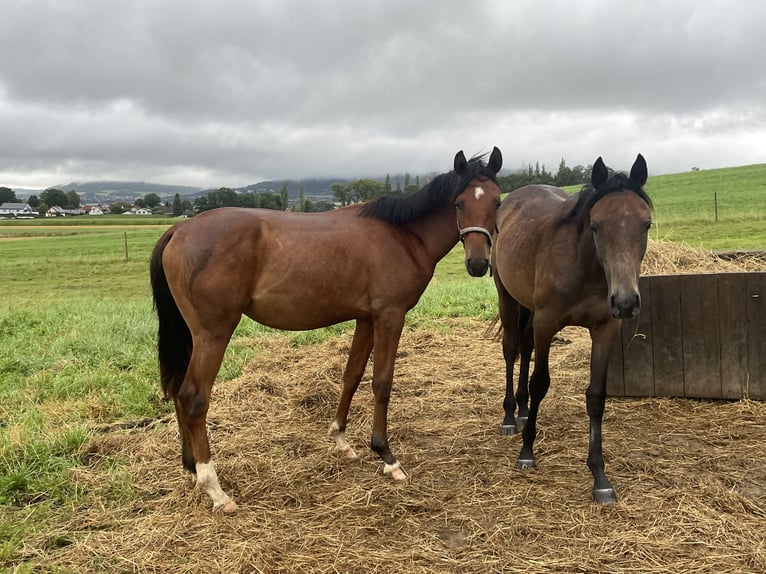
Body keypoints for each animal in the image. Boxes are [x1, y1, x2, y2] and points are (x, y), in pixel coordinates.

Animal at [153, 147, 508, 512]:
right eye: (459, 203)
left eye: (496, 201)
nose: (478, 264)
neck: (403, 236)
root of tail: (178, 231)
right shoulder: (389, 317)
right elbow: (382, 383)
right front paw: (386, 455)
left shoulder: (366, 319)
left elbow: (352, 375)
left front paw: (341, 438)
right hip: (213, 334)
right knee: (193, 397)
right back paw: (214, 488)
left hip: (193, 336)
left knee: (178, 393)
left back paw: (191, 468)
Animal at [496, 154, 652, 504]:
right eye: (596, 225)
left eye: (646, 224)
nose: (625, 301)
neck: (584, 267)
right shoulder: (546, 324)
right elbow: (540, 382)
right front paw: (527, 452)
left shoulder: (606, 329)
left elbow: (596, 396)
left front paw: (600, 476)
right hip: (507, 296)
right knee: (512, 349)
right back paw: (511, 417)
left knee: (524, 347)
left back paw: (523, 410)